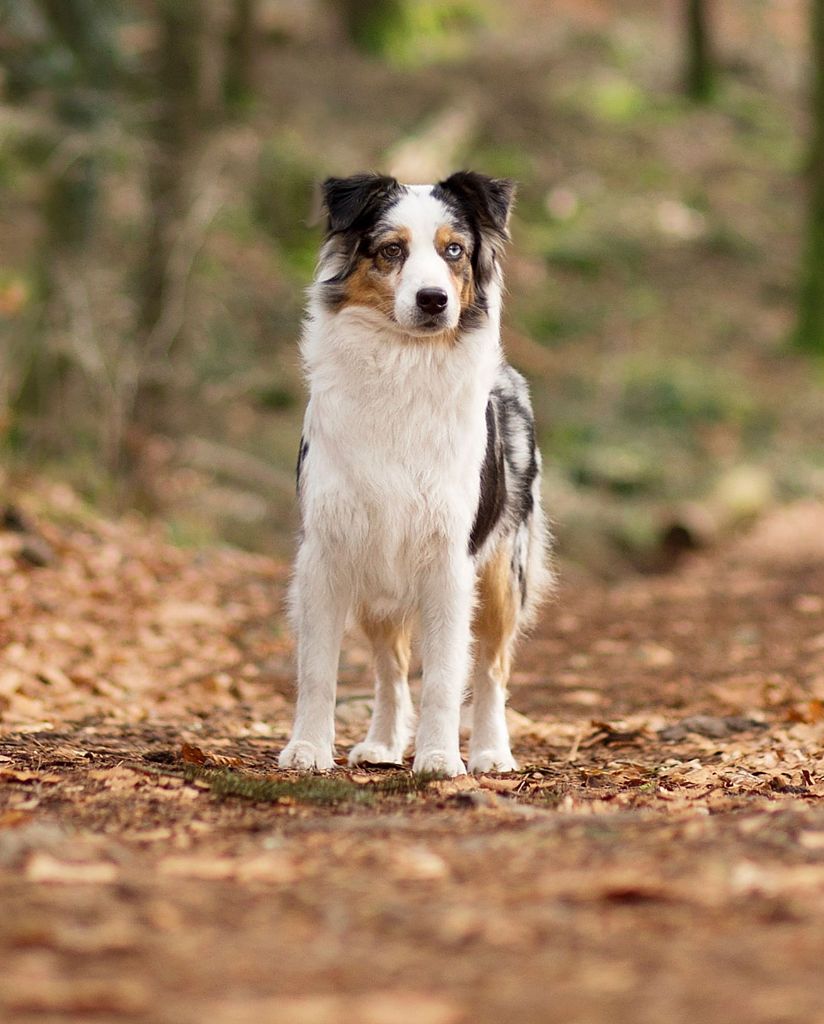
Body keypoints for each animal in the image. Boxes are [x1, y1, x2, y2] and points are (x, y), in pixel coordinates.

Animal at [278, 172, 552, 774]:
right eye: (391, 250)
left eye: (454, 251)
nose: (433, 300)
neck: (404, 363)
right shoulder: (326, 552)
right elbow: (318, 670)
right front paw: (308, 749)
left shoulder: (451, 561)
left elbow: (447, 677)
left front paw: (440, 758)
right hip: (379, 584)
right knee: (392, 668)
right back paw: (382, 744)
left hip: (505, 572)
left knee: (491, 669)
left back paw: (491, 752)